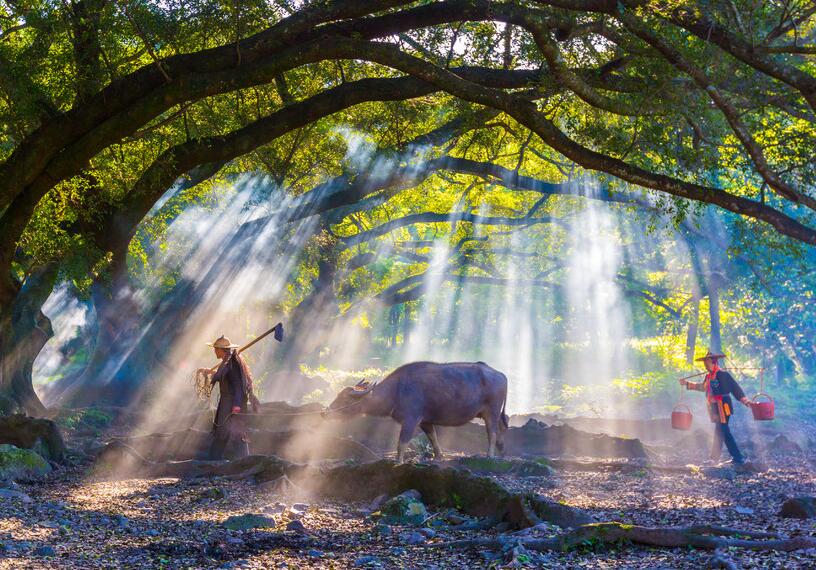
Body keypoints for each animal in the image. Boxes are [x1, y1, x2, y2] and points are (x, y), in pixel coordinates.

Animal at [322, 360, 506, 462]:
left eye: (345, 399)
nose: (325, 412)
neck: (397, 390)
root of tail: (501, 375)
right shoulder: (425, 421)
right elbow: (433, 438)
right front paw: (438, 457)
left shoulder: (411, 420)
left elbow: (401, 443)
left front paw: (398, 461)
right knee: (502, 428)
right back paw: (502, 451)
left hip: (491, 412)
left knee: (492, 432)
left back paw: (490, 455)